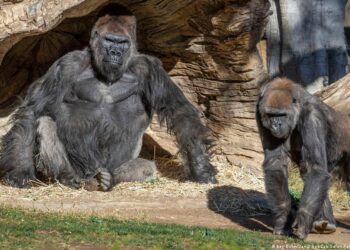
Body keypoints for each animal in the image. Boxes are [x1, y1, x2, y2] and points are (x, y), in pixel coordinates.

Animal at [0, 8, 216, 190]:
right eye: (109, 41)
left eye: (122, 43)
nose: (115, 53)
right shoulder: (67, 64)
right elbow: (33, 110)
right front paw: (20, 170)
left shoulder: (149, 68)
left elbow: (179, 111)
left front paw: (200, 167)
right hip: (82, 170)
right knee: (45, 123)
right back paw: (68, 177)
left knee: (145, 167)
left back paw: (108, 179)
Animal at [256, 77, 348, 239]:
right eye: (271, 115)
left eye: (282, 115)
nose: (276, 125)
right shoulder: (259, 111)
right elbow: (276, 163)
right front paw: (283, 218)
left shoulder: (313, 116)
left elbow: (315, 169)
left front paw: (303, 220)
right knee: (308, 174)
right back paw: (323, 222)